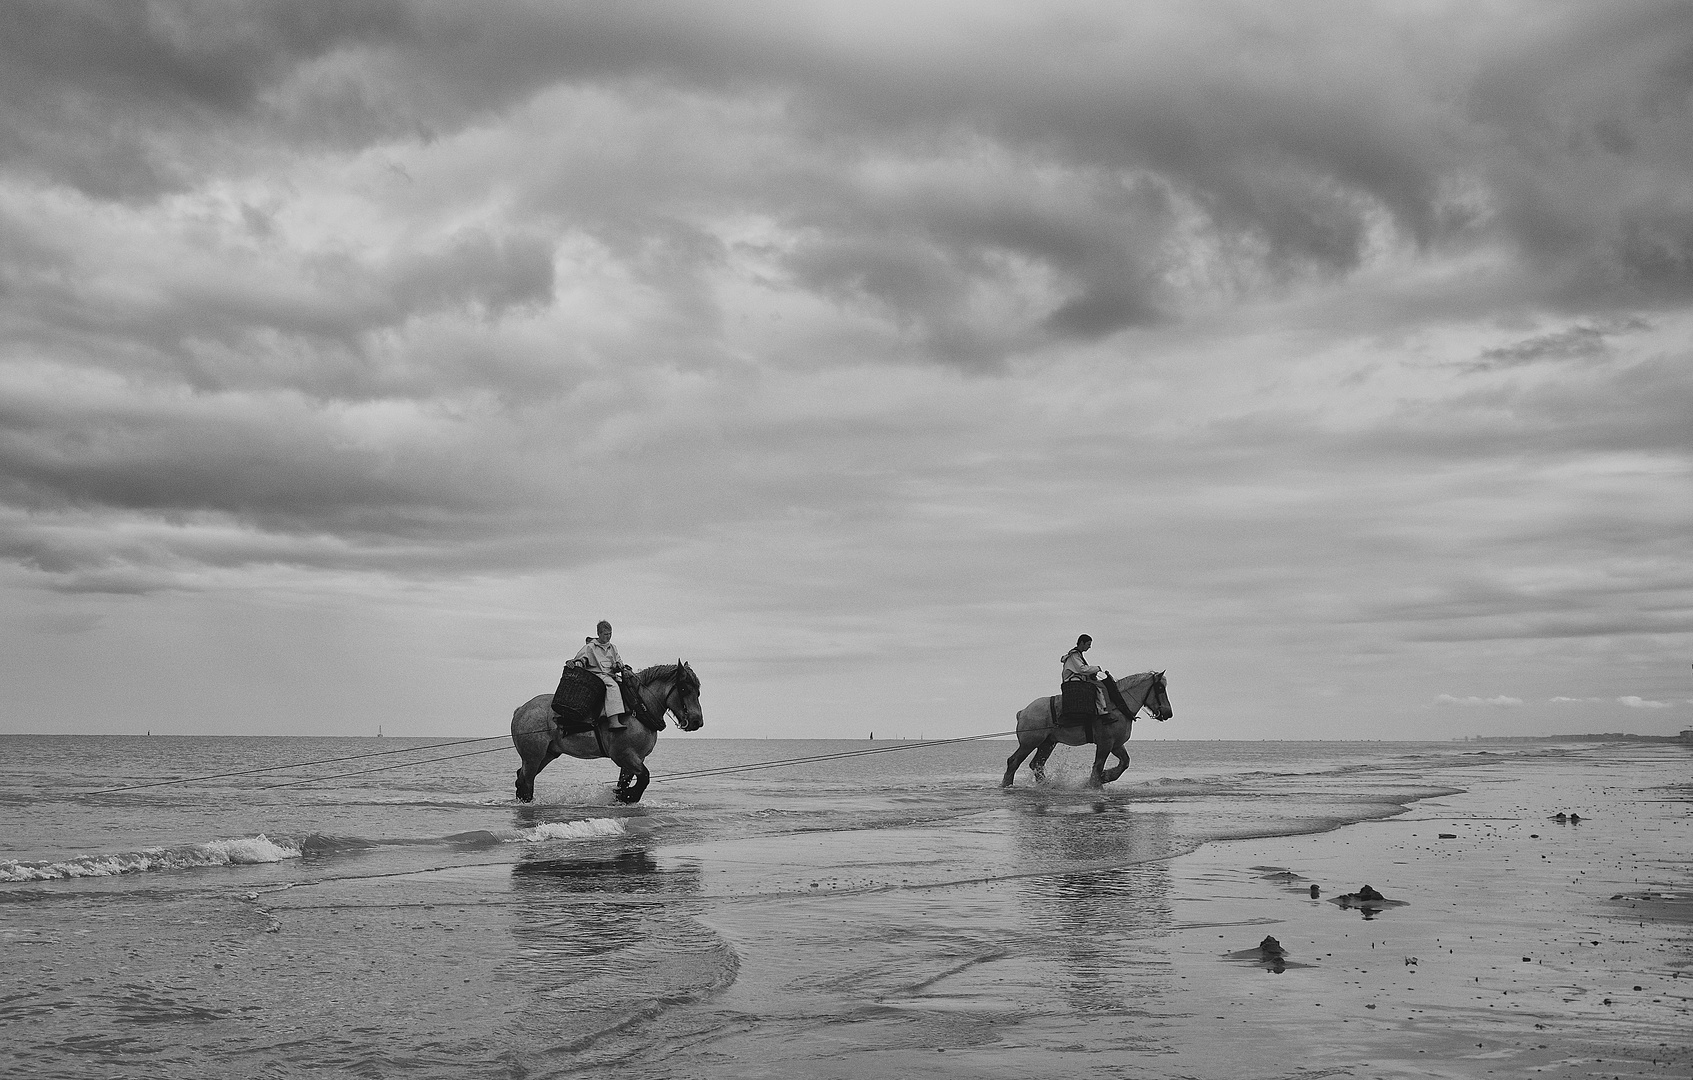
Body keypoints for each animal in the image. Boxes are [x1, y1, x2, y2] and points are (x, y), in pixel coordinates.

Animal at [511, 663, 704, 809]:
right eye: (684, 688)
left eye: (698, 691)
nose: (697, 721)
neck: (637, 708)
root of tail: (521, 709)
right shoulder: (623, 755)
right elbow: (645, 777)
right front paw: (628, 795)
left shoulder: (635, 759)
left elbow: (627, 781)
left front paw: (623, 796)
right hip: (533, 757)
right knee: (526, 782)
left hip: (547, 754)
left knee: (522, 778)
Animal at [995, 673, 1171, 792]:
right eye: (1160, 688)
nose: (1168, 712)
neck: (1118, 705)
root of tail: (1023, 711)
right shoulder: (1105, 743)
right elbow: (1098, 766)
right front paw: (1095, 784)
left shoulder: (1116, 744)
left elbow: (1124, 763)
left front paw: (1105, 777)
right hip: (1029, 743)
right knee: (1013, 761)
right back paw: (1007, 784)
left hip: (1048, 743)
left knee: (1037, 764)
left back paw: (1045, 784)